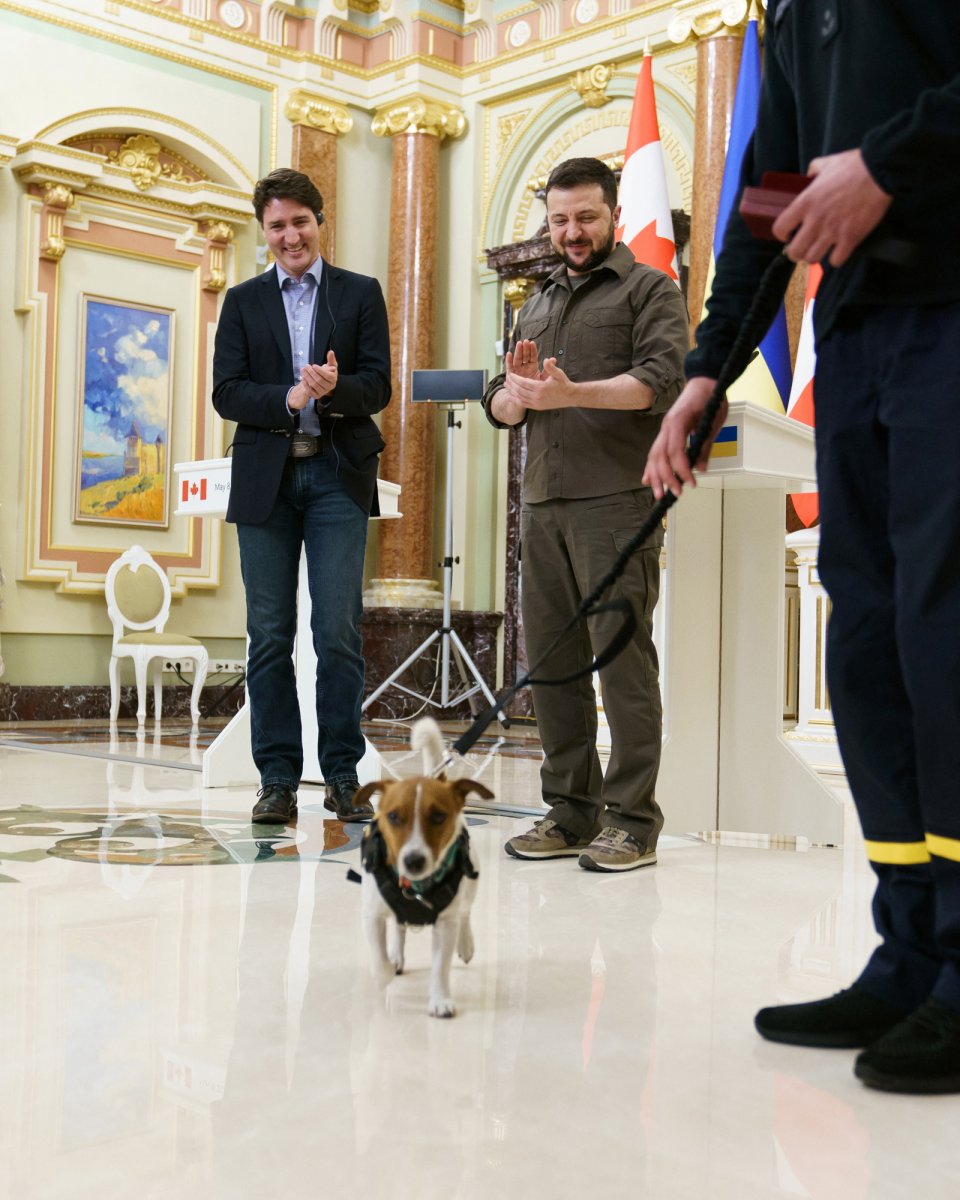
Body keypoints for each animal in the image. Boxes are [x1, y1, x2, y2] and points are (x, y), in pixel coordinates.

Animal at [348, 715, 492, 1017]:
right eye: (393, 816)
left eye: (438, 816)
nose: (414, 860)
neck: (413, 887)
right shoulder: (372, 915)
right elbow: (379, 958)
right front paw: (385, 973)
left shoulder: (445, 924)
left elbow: (440, 967)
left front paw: (440, 1000)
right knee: (399, 929)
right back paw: (396, 955)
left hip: (471, 880)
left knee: (465, 913)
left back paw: (466, 943)